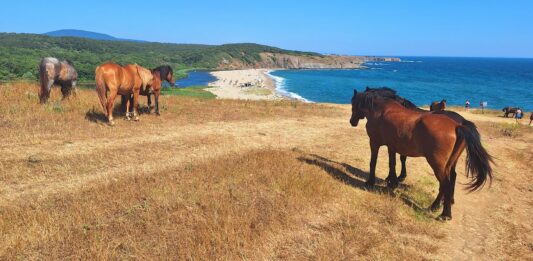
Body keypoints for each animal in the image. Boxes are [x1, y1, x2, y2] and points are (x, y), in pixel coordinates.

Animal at [348, 87, 492, 219]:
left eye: (353, 103)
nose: (352, 122)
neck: (381, 110)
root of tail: (458, 125)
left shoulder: (374, 142)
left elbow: (373, 162)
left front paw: (370, 182)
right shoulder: (392, 146)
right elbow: (392, 163)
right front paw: (392, 182)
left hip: (437, 164)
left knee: (445, 183)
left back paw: (445, 214)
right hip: (448, 164)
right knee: (447, 182)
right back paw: (436, 206)